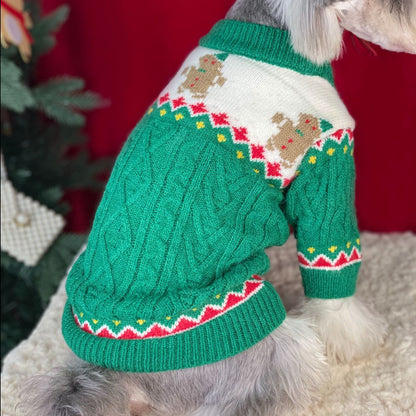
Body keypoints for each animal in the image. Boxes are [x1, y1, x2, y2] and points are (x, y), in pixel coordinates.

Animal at [20, 0, 416, 416]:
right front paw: (354, 338)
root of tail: (117, 373)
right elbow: (332, 274)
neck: (274, 32)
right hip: (271, 340)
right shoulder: (328, 163)